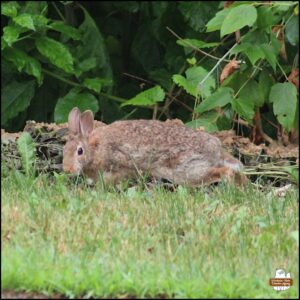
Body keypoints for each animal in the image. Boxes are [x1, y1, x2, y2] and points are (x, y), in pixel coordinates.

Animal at [62, 106, 246, 186]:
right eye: (64, 150)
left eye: (80, 151)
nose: (67, 170)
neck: (95, 149)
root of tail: (216, 150)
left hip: (187, 170)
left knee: (225, 172)